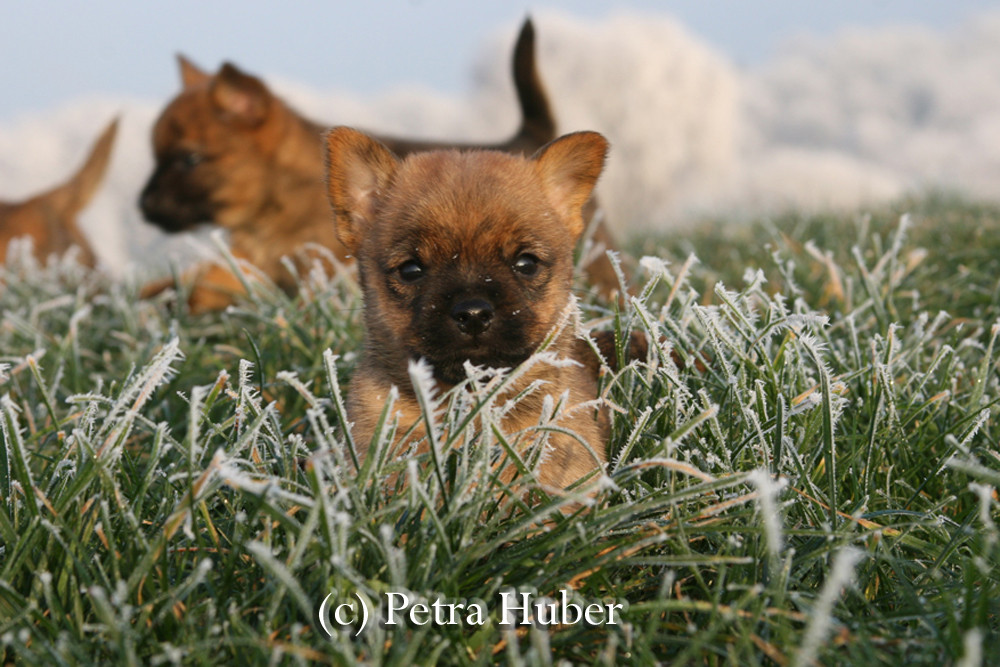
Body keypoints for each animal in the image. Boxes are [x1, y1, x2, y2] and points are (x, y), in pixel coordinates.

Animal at [139, 18, 624, 314]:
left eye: (189, 160)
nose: (142, 205)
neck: (275, 204)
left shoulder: (322, 274)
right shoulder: (255, 271)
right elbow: (207, 280)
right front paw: (161, 296)